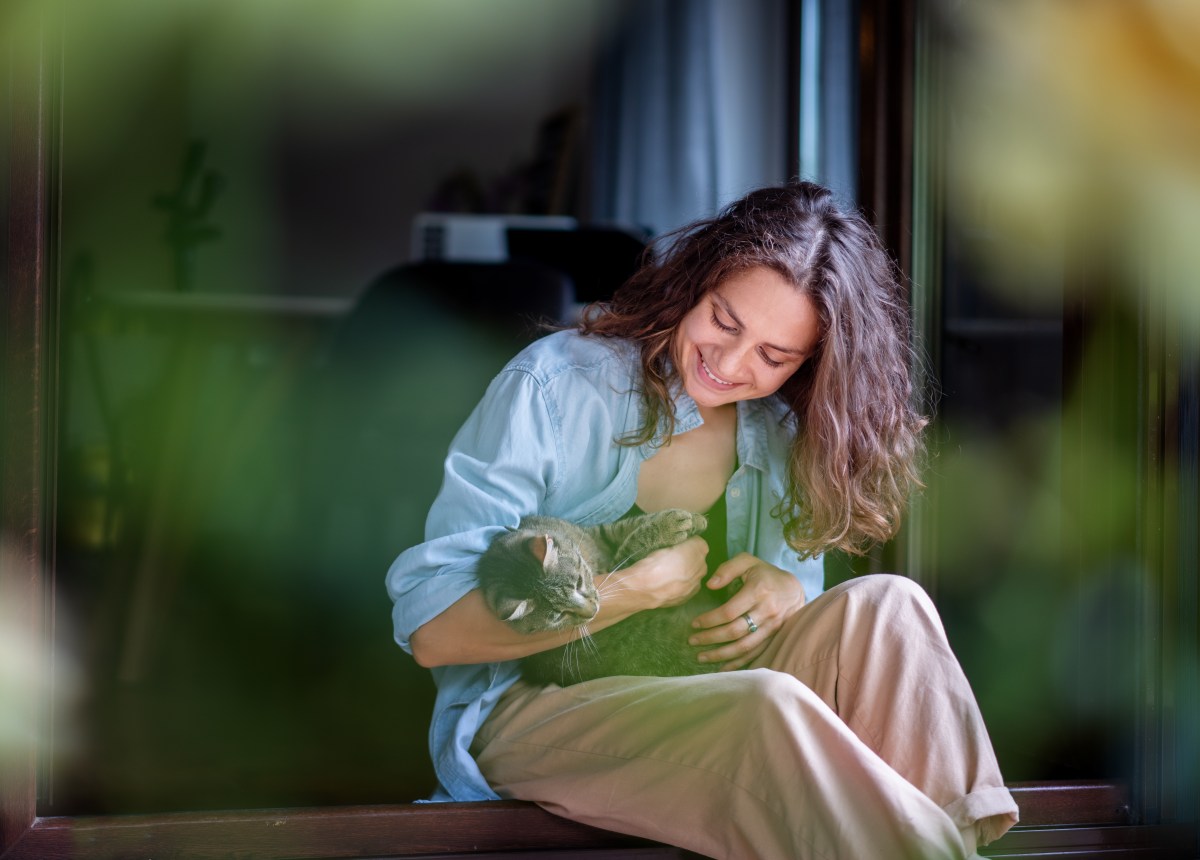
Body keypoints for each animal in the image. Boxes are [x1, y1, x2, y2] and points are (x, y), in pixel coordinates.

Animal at [472, 510, 724, 686]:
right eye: (558, 617)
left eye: (578, 583)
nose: (591, 612)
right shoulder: (617, 568)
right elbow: (633, 548)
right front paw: (666, 528)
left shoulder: (598, 533)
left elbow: (626, 525)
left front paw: (690, 520)